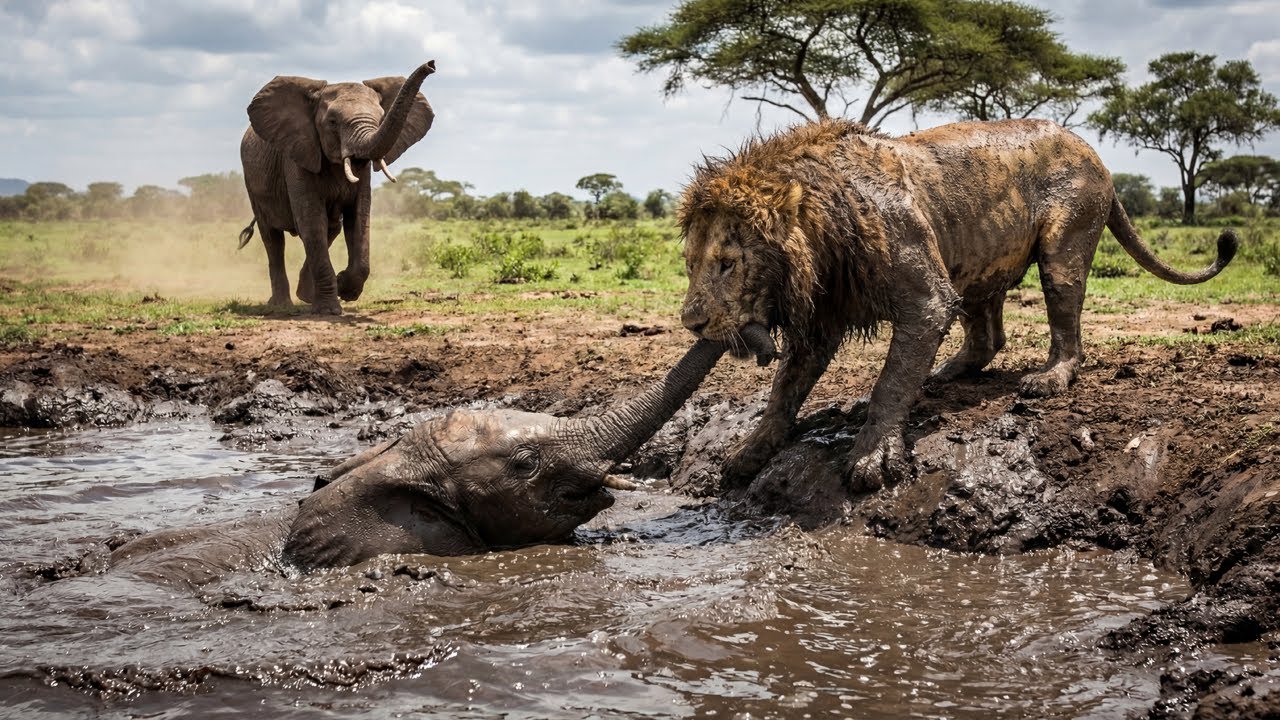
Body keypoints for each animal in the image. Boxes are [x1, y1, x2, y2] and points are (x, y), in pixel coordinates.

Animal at [237, 61, 436, 314]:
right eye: (332, 122)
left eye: (382, 117)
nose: (431, 64)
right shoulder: (298, 154)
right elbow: (312, 222)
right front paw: (329, 310)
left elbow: (358, 220)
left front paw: (344, 288)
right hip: (253, 184)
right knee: (273, 239)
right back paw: (281, 304)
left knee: (331, 229)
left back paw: (306, 296)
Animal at [678, 118, 1236, 492]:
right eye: (690, 262)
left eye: (727, 263)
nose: (692, 321)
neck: (822, 215)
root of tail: (1090, 149)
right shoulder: (822, 312)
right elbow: (784, 388)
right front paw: (749, 452)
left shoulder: (924, 296)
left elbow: (889, 382)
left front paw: (871, 456)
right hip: (975, 260)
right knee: (988, 336)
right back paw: (945, 373)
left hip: (1067, 238)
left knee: (1064, 313)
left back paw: (1049, 378)